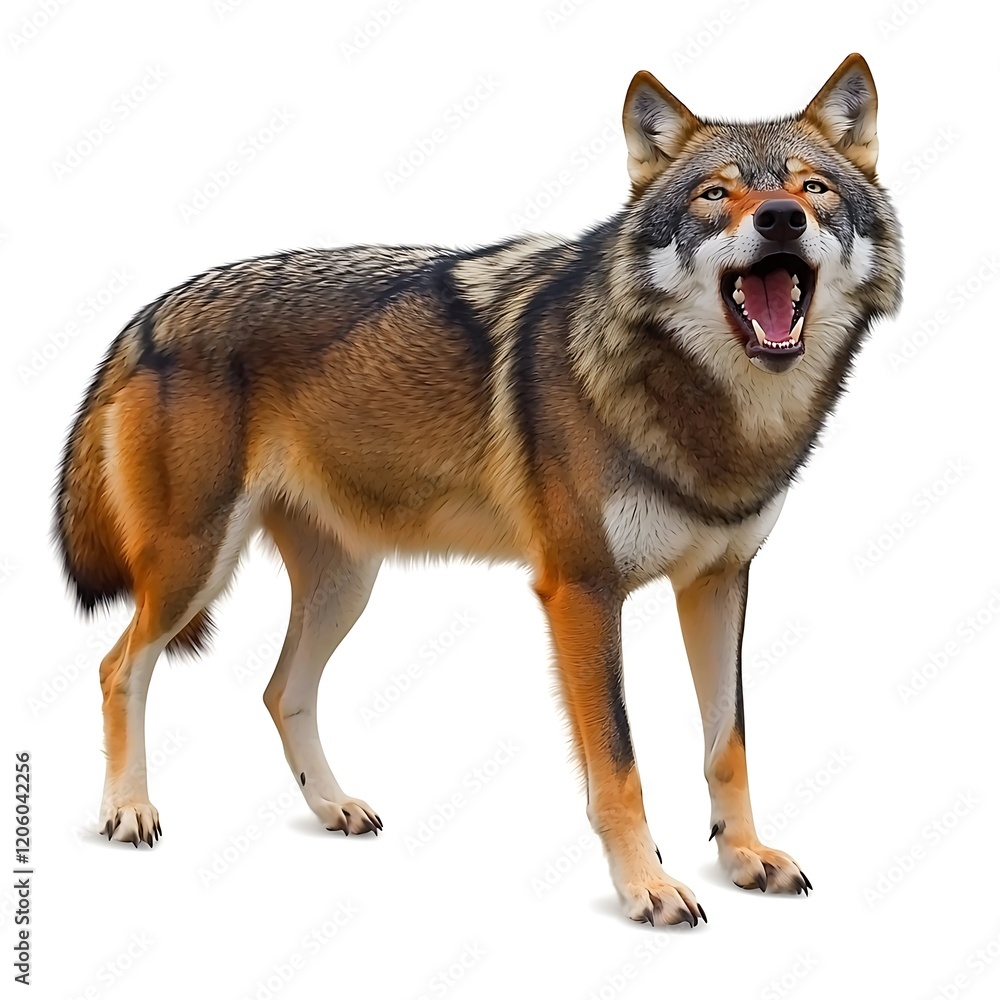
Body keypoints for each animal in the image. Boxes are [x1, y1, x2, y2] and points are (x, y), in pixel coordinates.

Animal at [56, 53, 902, 926]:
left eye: (812, 188)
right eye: (715, 194)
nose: (780, 220)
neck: (717, 418)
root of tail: (148, 316)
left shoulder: (718, 582)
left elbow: (727, 745)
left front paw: (744, 858)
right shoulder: (581, 591)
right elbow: (620, 764)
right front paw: (647, 886)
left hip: (344, 587)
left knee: (279, 689)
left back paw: (333, 807)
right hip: (196, 567)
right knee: (118, 666)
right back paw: (128, 811)